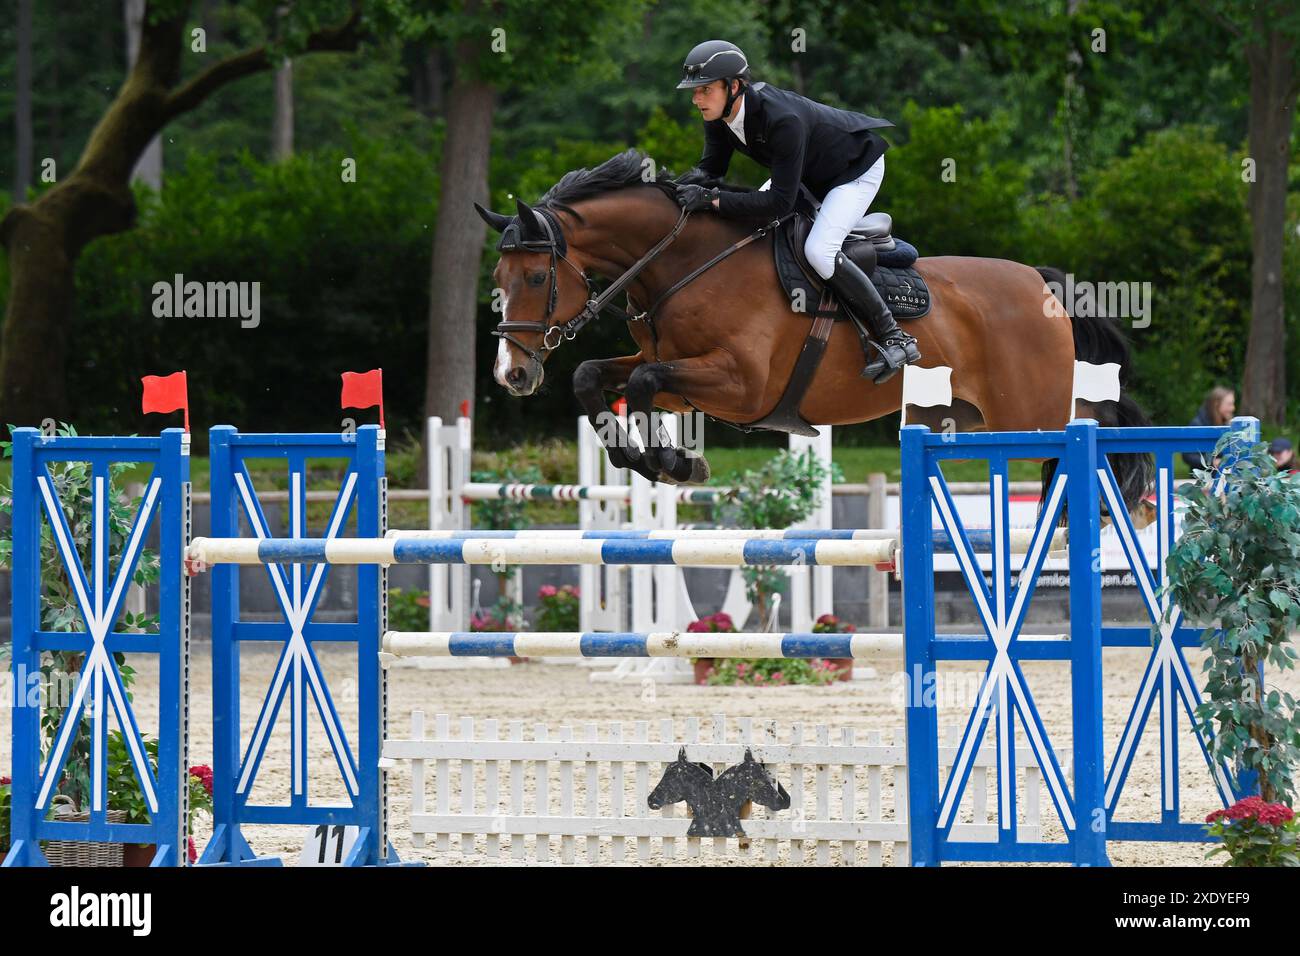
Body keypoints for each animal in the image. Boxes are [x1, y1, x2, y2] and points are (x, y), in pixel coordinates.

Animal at [475, 148, 1149, 504]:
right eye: (497, 278)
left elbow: (640, 385)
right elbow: (595, 377)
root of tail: (1040, 284)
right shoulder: (676, 375)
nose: (512, 374)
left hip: (1030, 414)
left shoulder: (741, 384)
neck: (685, 263)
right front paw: (648, 460)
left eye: (534, 276)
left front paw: (673, 463)